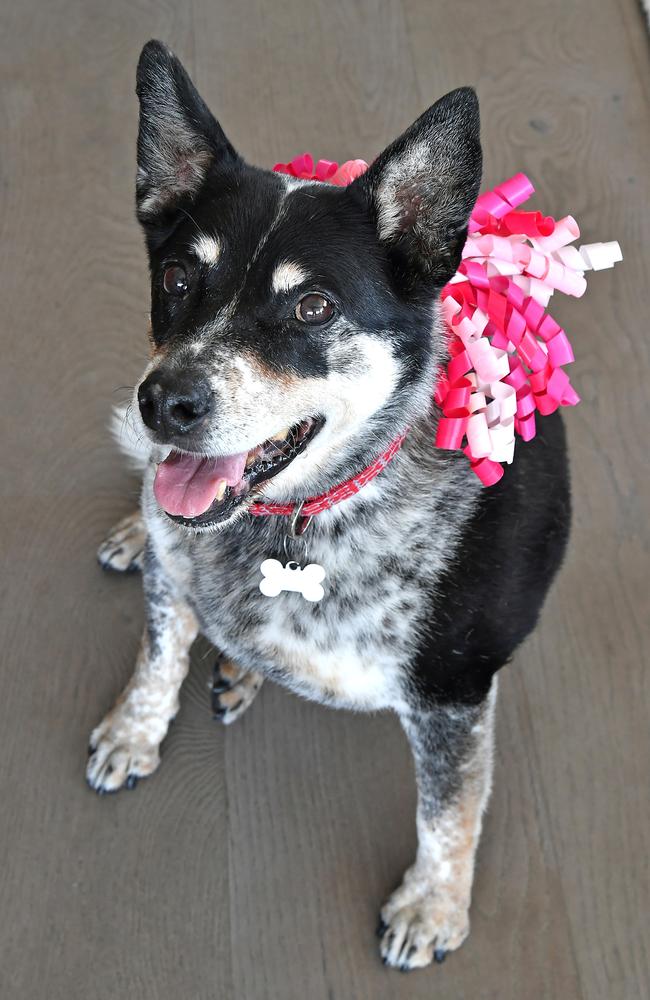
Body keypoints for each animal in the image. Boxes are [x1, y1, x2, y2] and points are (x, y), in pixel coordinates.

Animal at [88, 43, 568, 972]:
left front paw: (432, 906)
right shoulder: (176, 573)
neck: (295, 526)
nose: (164, 401)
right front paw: (135, 730)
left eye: (312, 306)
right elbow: (158, 655)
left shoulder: (453, 691)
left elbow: (448, 811)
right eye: (176, 277)